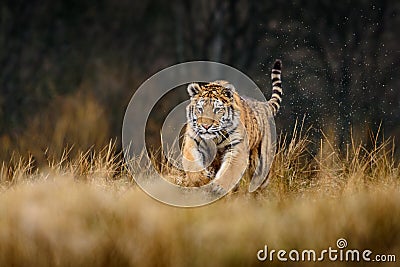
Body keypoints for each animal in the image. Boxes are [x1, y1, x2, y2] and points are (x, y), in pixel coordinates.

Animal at [181, 60, 282, 195]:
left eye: (217, 110)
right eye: (200, 109)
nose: (206, 126)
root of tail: (262, 104)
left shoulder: (236, 147)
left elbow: (229, 170)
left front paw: (218, 187)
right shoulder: (192, 141)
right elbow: (192, 164)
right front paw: (202, 179)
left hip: (262, 162)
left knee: (260, 183)